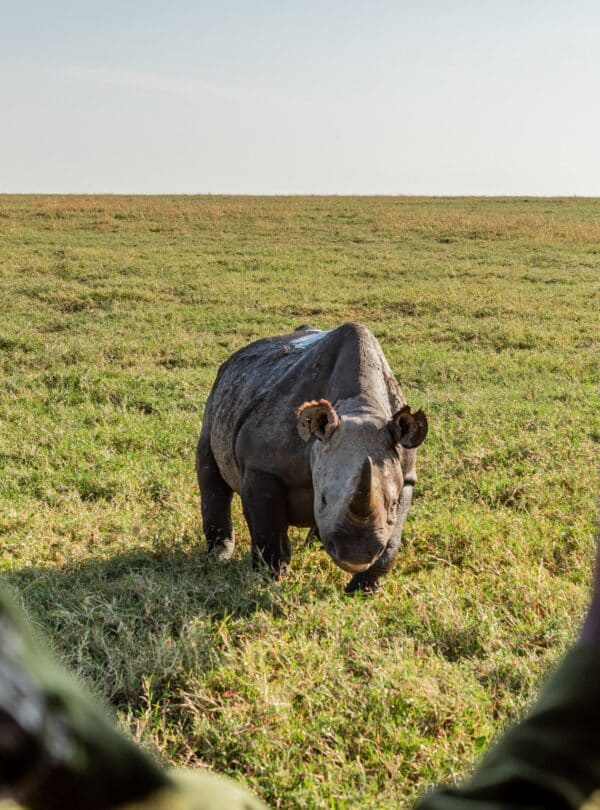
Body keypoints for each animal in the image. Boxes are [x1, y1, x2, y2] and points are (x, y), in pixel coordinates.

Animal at [196, 322, 428, 593]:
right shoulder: (262, 467)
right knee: (209, 469)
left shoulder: (406, 474)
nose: (356, 555)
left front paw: (361, 591)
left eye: (391, 504)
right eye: (324, 499)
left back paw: (314, 545)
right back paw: (218, 558)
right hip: (220, 397)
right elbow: (269, 529)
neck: (361, 408)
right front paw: (270, 579)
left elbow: (391, 542)